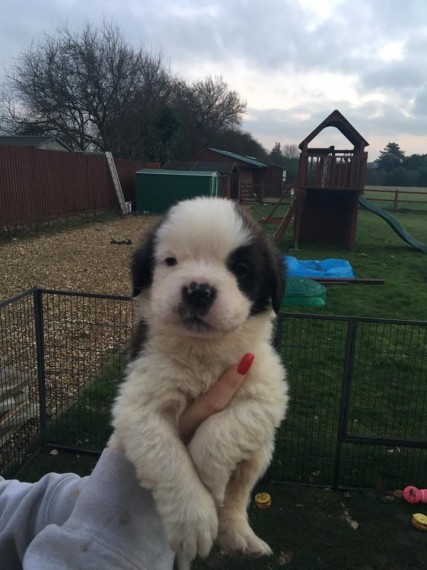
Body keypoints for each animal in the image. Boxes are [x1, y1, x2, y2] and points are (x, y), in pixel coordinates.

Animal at [109, 196, 289, 569]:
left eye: (242, 270)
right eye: (171, 261)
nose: (199, 290)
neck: (203, 352)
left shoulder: (267, 392)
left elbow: (220, 432)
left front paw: (209, 476)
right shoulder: (138, 406)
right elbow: (169, 459)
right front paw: (194, 521)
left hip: (260, 453)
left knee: (237, 497)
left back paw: (240, 535)